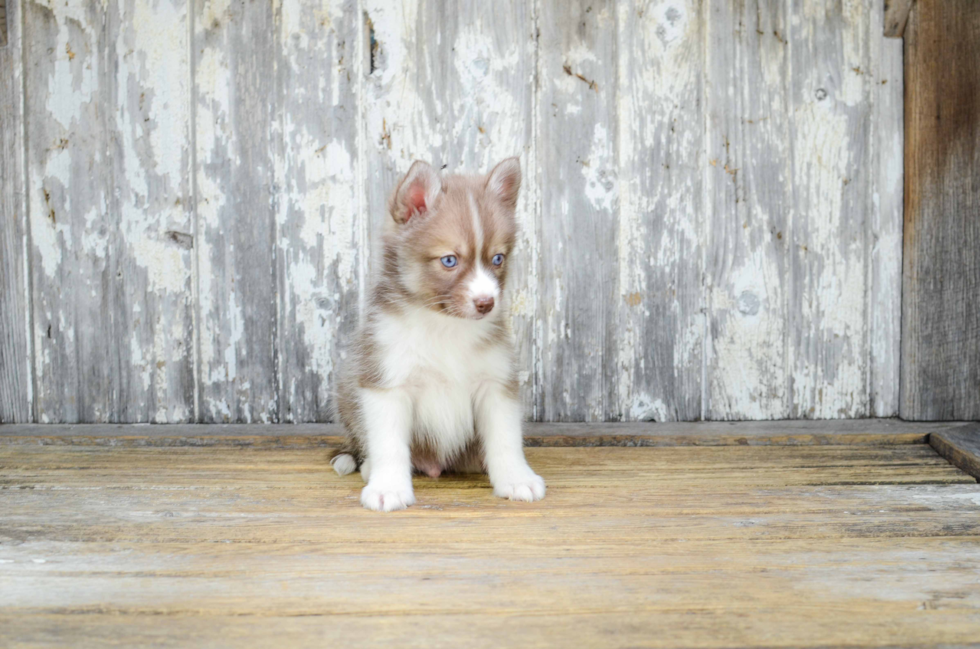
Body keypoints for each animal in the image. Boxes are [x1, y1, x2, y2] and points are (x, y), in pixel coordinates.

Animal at [330, 158, 544, 512]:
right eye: (449, 260)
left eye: (497, 258)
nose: (487, 303)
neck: (444, 325)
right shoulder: (386, 382)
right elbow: (389, 443)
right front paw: (388, 486)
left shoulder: (496, 383)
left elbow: (505, 439)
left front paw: (516, 478)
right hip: (348, 391)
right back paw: (369, 466)